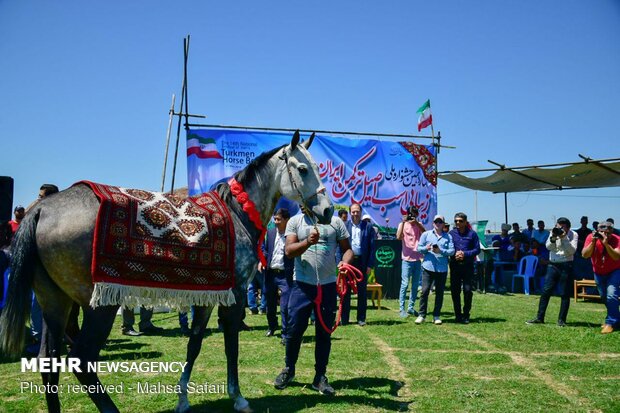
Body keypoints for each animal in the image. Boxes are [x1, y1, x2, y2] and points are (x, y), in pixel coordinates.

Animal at [0, 132, 334, 412]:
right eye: (303, 169)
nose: (328, 210)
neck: (237, 212)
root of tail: (42, 209)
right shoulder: (236, 294)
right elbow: (231, 346)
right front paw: (238, 398)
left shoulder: (207, 296)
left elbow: (194, 344)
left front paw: (183, 399)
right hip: (99, 305)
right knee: (81, 361)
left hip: (54, 302)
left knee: (49, 362)